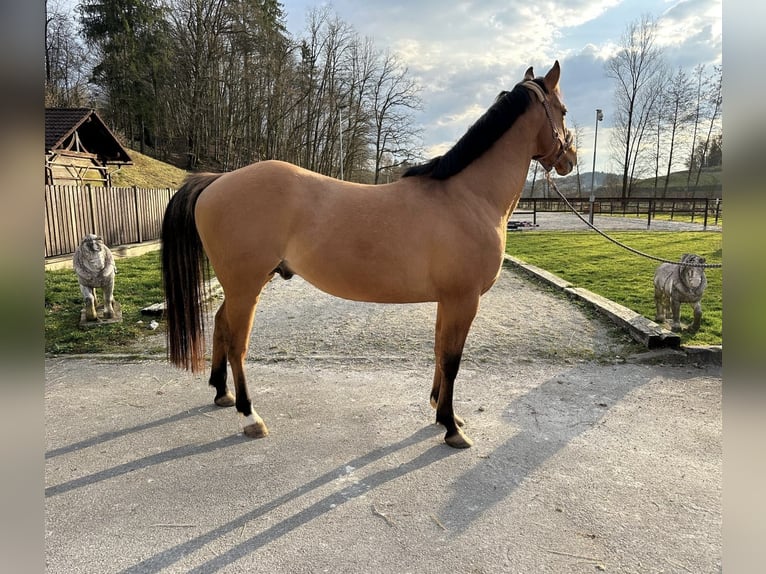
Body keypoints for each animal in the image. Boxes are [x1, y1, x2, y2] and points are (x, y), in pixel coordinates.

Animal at [161, 61, 576, 448]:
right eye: (564, 110)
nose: (570, 159)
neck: (467, 197)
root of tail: (217, 180)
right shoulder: (464, 299)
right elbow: (453, 360)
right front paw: (450, 426)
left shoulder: (448, 300)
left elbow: (439, 351)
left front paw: (439, 410)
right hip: (245, 286)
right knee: (237, 343)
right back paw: (250, 416)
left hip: (244, 284)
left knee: (220, 324)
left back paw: (222, 393)